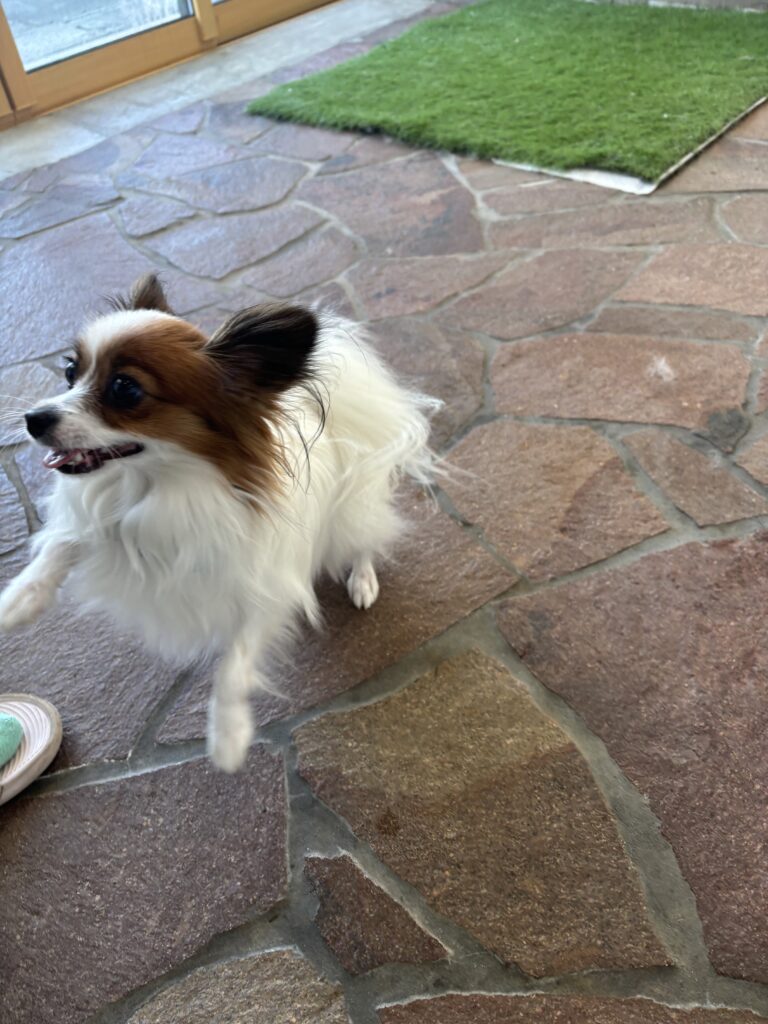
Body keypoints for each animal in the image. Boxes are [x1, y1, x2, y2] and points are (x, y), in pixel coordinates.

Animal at [0, 275, 436, 771]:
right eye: (71, 372)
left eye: (125, 390)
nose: (33, 419)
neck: (159, 487)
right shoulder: (107, 521)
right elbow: (63, 544)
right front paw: (16, 603)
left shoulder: (267, 585)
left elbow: (234, 666)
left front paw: (228, 736)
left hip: (351, 518)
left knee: (363, 543)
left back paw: (362, 580)